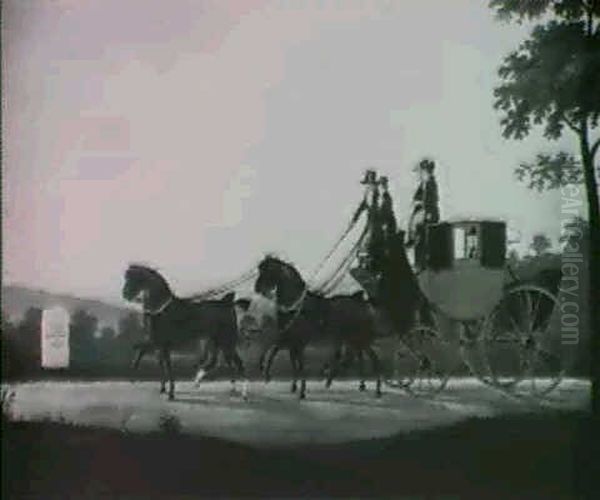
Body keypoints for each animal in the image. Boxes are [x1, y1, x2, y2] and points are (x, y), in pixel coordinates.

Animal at [123, 264, 250, 400]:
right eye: (127, 278)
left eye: (134, 278)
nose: (125, 294)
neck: (161, 309)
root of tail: (227, 303)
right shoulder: (157, 343)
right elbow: (156, 361)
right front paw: (162, 388)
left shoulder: (162, 343)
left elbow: (166, 365)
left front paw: (171, 393)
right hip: (215, 341)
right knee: (217, 361)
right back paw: (203, 382)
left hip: (226, 341)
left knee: (238, 364)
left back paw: (243, 394)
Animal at [255, 256, 382, 396]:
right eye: (261, 270)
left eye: (268, 271)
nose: (258, 288)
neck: (296, 306)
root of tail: (362, 302)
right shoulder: (290, 340)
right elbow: (287, 359)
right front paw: (294, 385)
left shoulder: (298, 341)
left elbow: (298, 363)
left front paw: (301, 390)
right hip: (352, 339)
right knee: (357, 357)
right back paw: (357, 383)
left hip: (358, 338)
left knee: (372, 359)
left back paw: (376, 389)